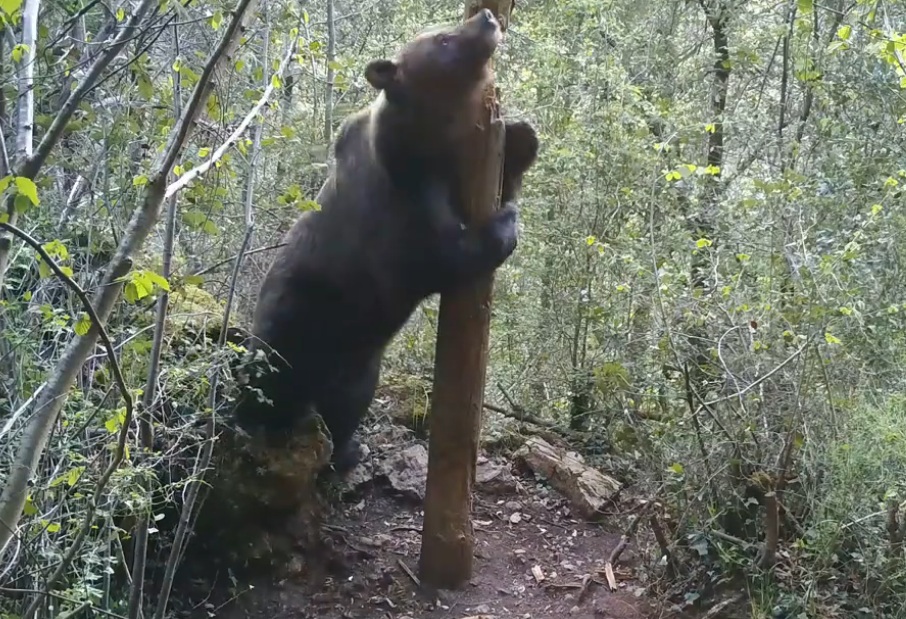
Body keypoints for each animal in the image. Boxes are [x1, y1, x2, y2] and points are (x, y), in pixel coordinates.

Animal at [233, 8, 539, 475]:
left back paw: (347, 449)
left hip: (359, 359)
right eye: (443, 39)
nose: (487, 18)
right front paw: (505, 224)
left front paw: (523, 137)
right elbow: (447, 255)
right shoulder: (402, 205)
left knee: (347, 403)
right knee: (272, 384)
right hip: (296, 323)